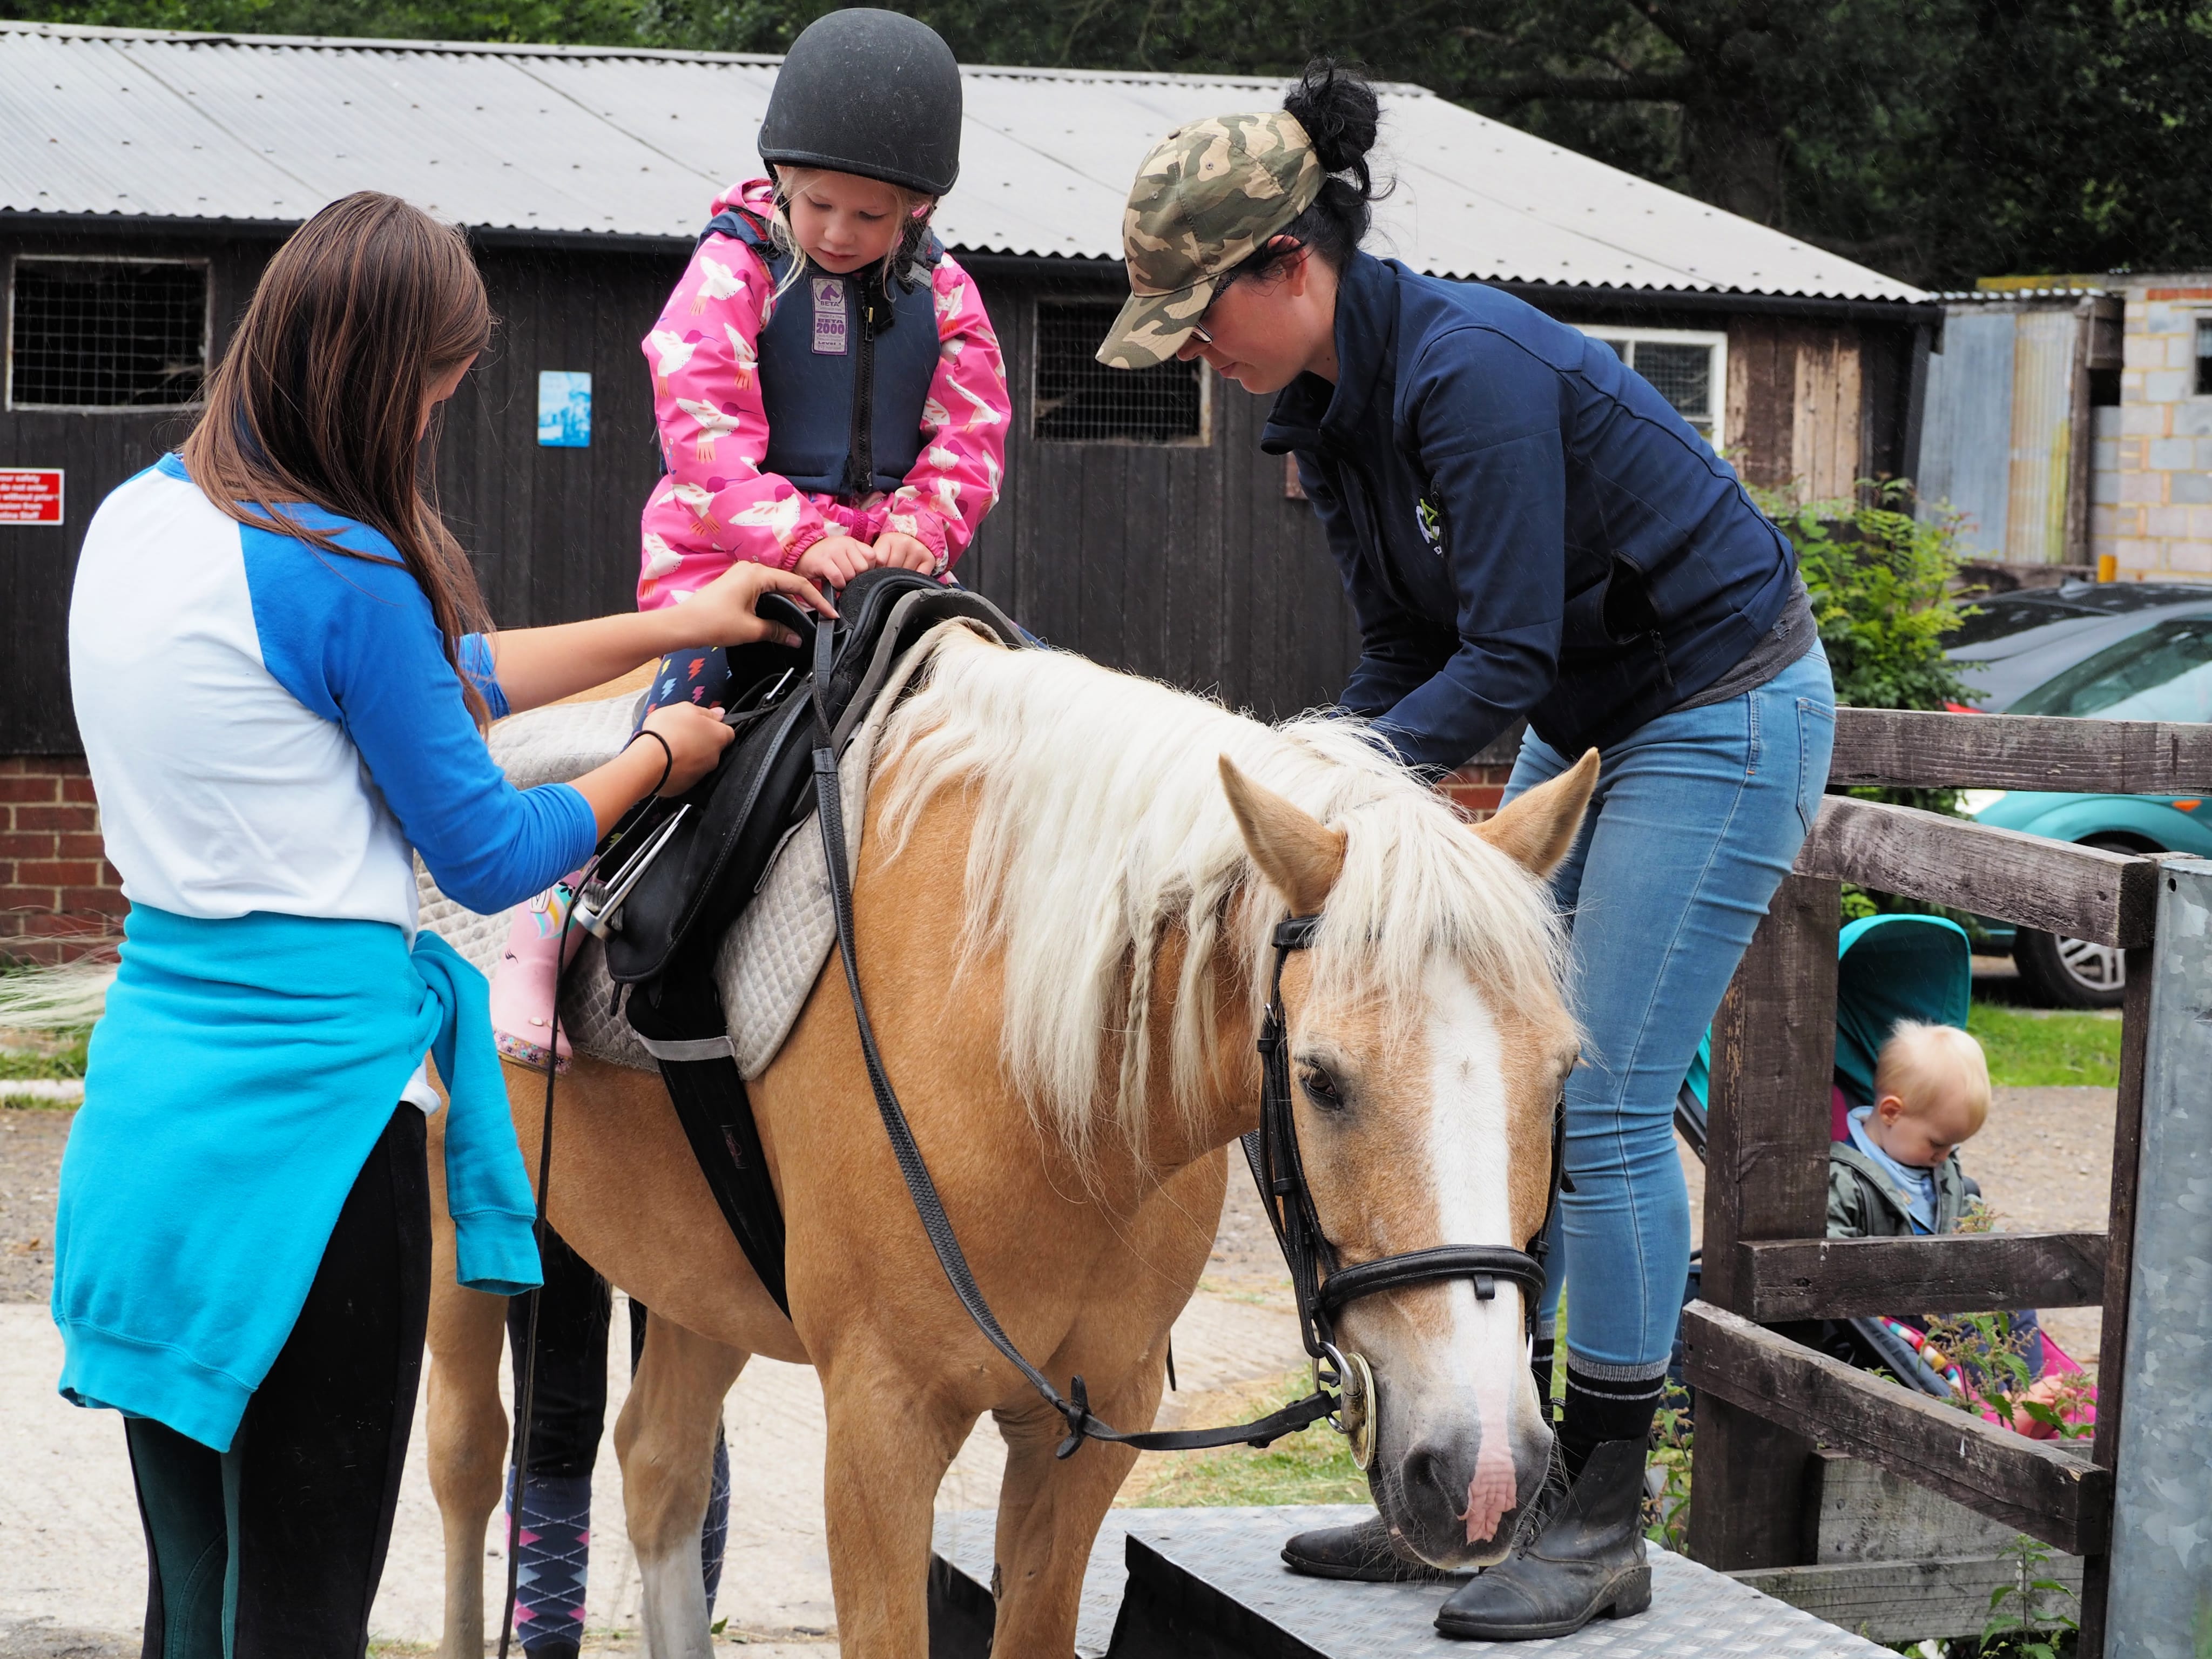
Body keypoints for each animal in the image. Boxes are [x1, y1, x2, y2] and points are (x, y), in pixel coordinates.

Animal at [422, 628, 1593, 1654]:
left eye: (1562, 1073)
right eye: (1320, 1079)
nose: (1482, 1472)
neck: (1042, 1096)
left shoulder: (1088, 1429)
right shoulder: (881, 1429)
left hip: (698, 1273)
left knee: (658, 1465)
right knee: (471, 1460)